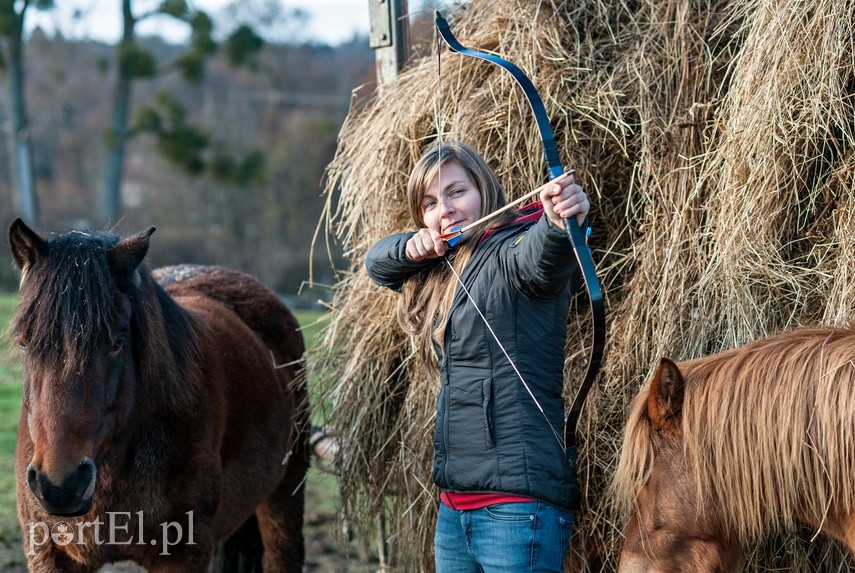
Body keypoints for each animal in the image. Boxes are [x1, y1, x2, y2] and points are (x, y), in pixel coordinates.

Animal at [8, 217, 310, 568]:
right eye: (24, 342)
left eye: (116, 342)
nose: (61, 486)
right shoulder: (49, 555)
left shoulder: (181, 555)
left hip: (285, 493)